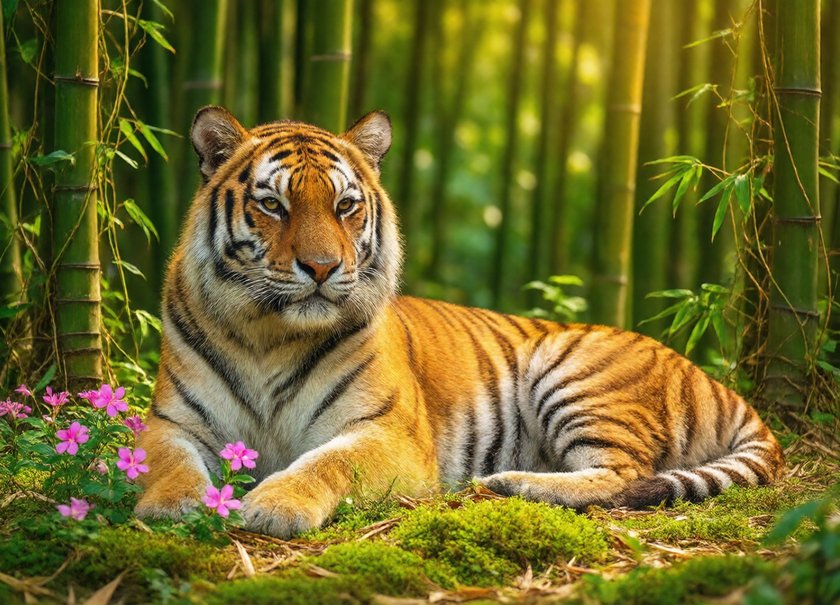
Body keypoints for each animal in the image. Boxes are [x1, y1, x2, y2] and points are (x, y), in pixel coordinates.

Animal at [134, 105, 785, 538]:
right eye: (272, 204)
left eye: (345, 206)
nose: (322, 267)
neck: (269, 334)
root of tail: (713, 379)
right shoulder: (171, 421)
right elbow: (168, 463)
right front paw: (171, 506)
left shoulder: (387, 434)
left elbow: (327, 462)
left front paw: (277, 505)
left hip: (573, 374)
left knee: (622, 477)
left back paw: (509, 483)